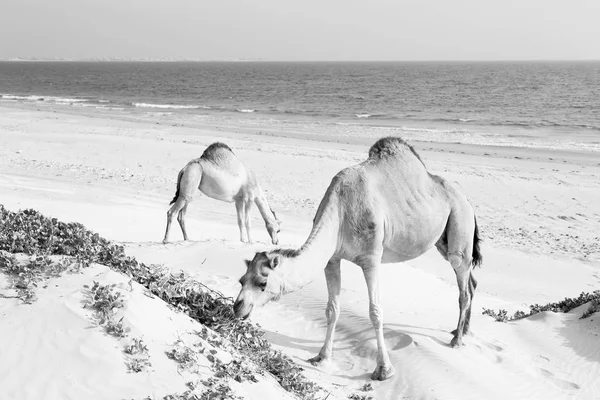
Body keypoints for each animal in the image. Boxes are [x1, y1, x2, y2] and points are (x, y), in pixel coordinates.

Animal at [234, 137, 482, 382]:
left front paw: (384, 370)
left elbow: (375, 312)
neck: (340, 212)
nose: (237, 307)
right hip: (442, 240)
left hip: (460, 222)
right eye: (241, 280)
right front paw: (321, 357)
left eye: (262, 282)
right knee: (471, 282)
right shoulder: (332, 259)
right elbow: (332, 309)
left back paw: (457, 339)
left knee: (463, 284)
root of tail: (467, 201)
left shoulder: (371, 258)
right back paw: (462, 330)